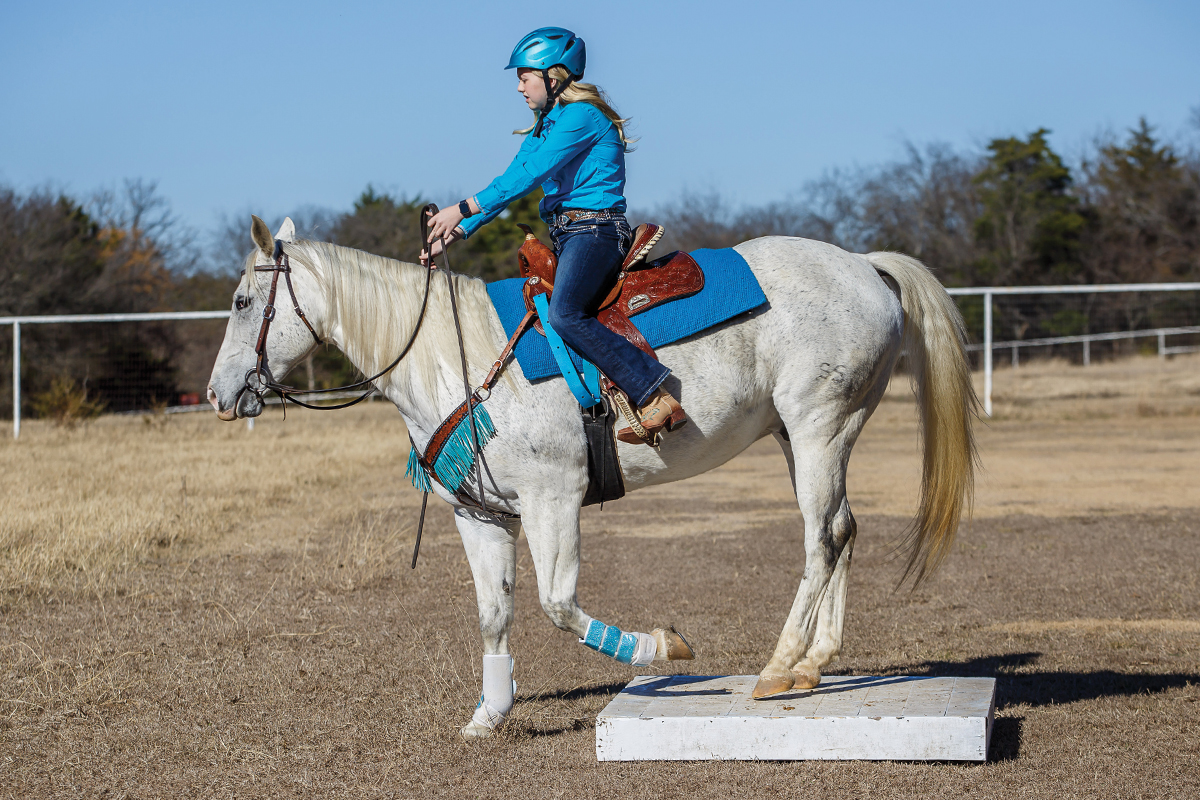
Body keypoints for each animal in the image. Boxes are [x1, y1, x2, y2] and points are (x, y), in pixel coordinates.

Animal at [208, 214, 974, 738]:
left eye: (244, 303)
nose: (218, 395)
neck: (455, 356)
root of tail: (864, 265)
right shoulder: (479, 513)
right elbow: (495, 614)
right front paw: (489, 714)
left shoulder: (555, 498)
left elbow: (557, 604)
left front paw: (659, 647)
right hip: (807, 439)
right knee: (843, 530)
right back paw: (813, 665)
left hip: (819, 428)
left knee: (820, 541)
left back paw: (777, 666)